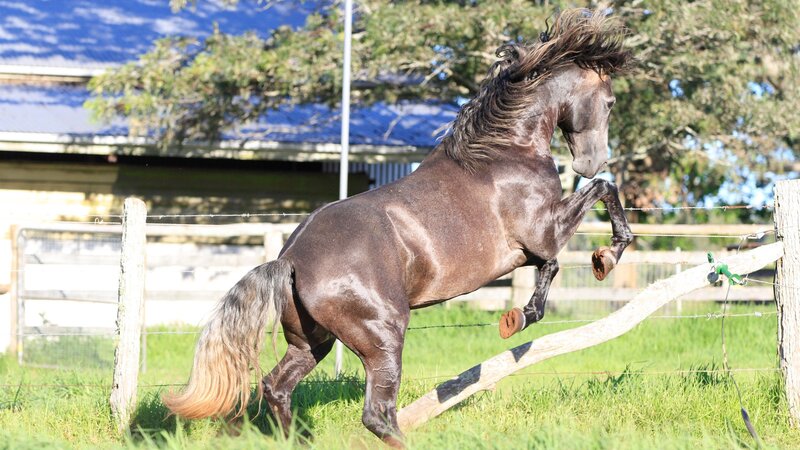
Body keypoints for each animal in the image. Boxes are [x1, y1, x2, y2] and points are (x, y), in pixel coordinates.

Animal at [164, 8, 635, 448]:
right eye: (611, 102)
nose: (591, 160)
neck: (504, 151)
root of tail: (291, 259)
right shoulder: (544, 232)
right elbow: (598, 198)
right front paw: (602, 260)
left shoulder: (535, 245)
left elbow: (552, 263)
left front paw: (519, 316)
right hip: (384, 336)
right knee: (377, 414)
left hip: (312, 342)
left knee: (276, 388)